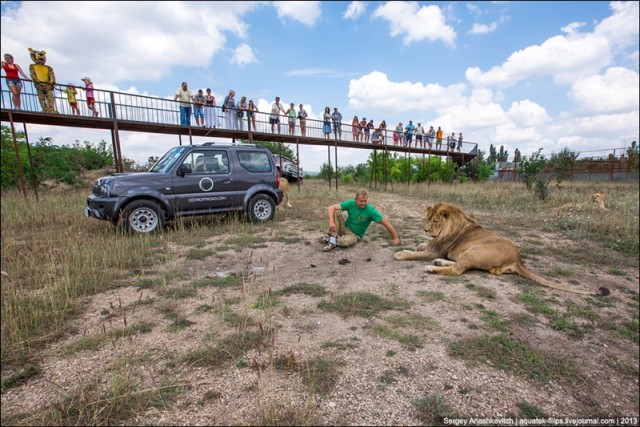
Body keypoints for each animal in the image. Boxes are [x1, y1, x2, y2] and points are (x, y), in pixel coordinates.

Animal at [396, 201, 608, 296]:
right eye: (427, 219)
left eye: (434, 221)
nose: (424, 229)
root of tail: (517, 259)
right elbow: (422, 245)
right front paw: (419, 242)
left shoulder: (436, 249)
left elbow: (415, 253)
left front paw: (401, 253)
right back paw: (438, 263)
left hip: (475, 250)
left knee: (457, 270)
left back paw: (432, 267)